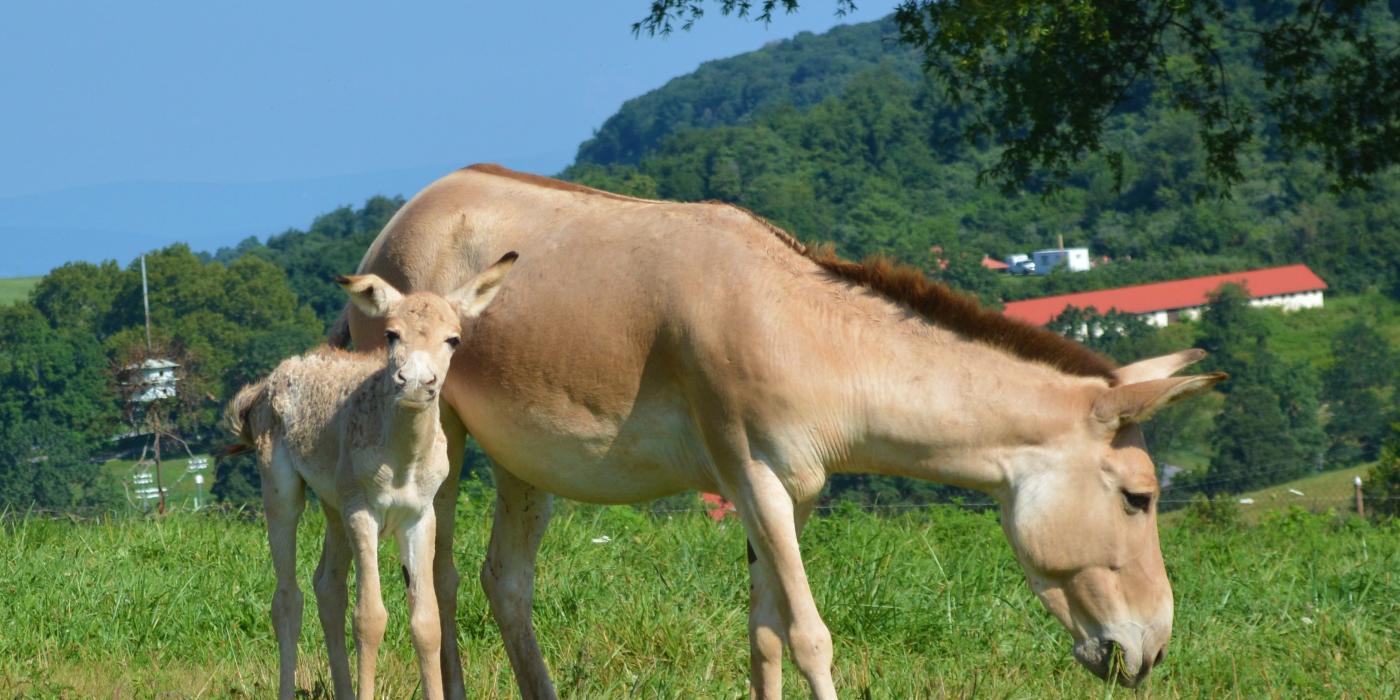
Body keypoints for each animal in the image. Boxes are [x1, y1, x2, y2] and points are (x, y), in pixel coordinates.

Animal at [226, 256, 518, 700]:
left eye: (453, 340)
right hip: (282, 490)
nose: (414, 384)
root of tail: (273, 378)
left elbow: (426, 621)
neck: (402, 459)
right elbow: (369, 618)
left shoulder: (420, 516)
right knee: (287, 598)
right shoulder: (362, 512)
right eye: (391, 334)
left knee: (328, 587)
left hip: (333, 505)